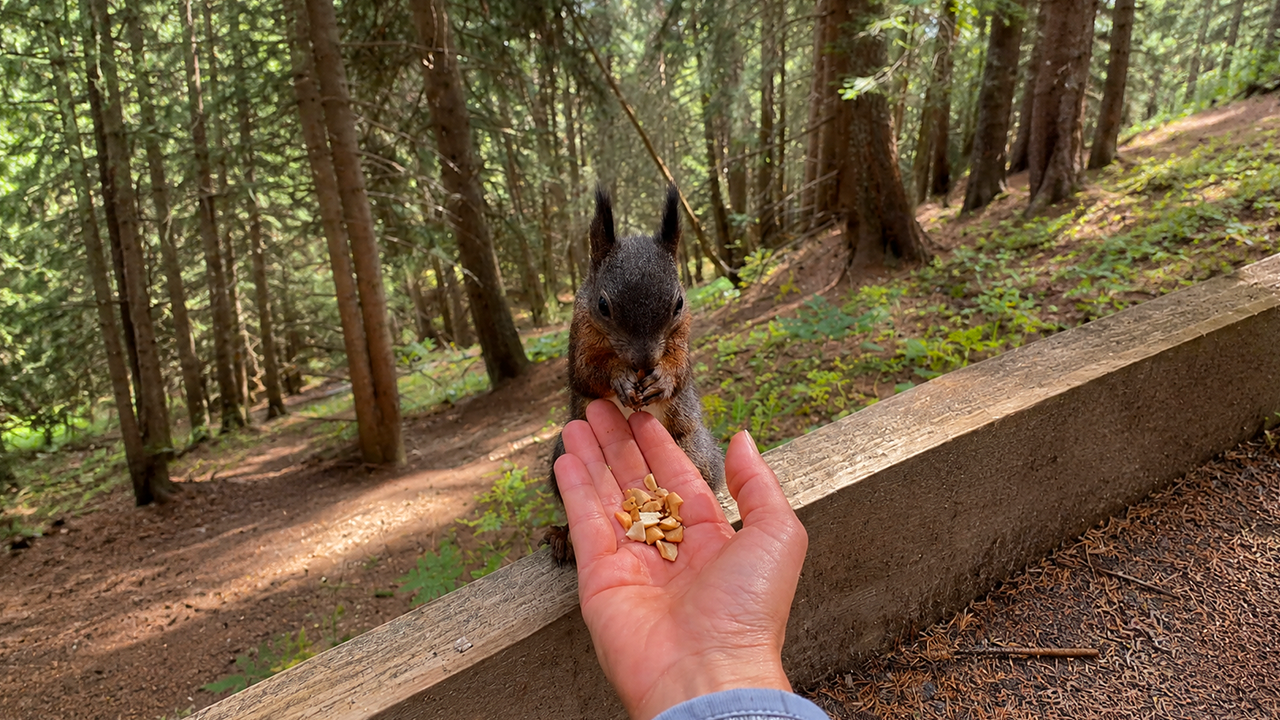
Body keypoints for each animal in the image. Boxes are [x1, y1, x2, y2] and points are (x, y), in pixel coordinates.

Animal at [545, 184, 725, 565]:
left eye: (678, 304)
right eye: (603, 305)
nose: (644, 360)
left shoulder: (683, 334)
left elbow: (680, 368)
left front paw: (663, 379)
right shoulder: (579, 336)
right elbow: (586, 372)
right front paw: (619, 378)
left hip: (694, 448)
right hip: (561, 451)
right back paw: (564, 536)